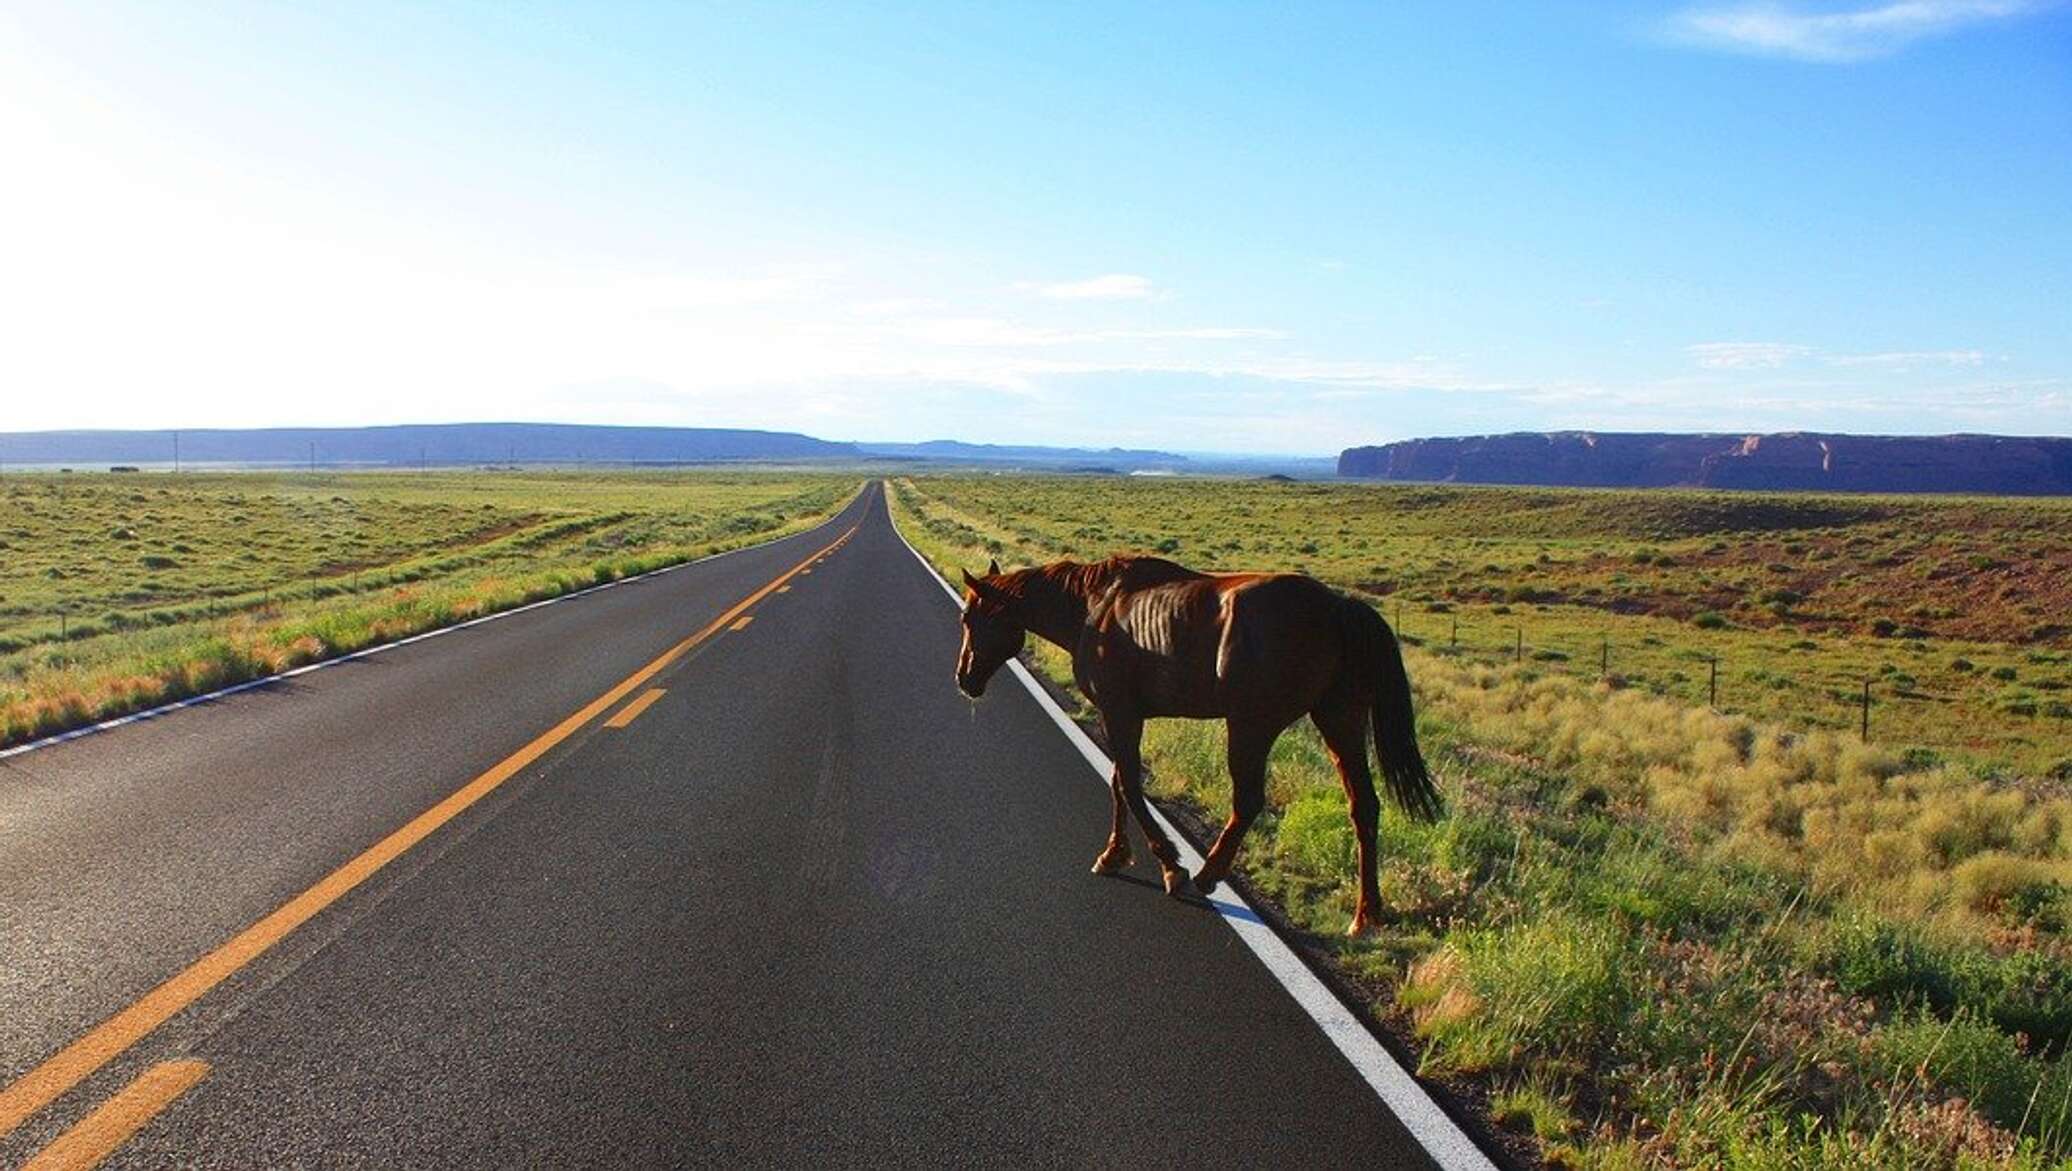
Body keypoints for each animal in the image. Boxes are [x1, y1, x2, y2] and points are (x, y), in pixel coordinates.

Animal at [953, 551, 1442, 936]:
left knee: (1248, 801)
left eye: (969, 618)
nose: (964, 679)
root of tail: (1338, 607)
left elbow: (1128, 785)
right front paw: (1114, 854)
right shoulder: (1123, 716)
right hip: (1338, 720)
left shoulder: (1120, 713)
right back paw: (1366, 914)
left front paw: (1169, 864)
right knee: (1364, 804)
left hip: (1251, 726)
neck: (1093, 608)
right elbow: (1118, 782)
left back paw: (1207, 874)